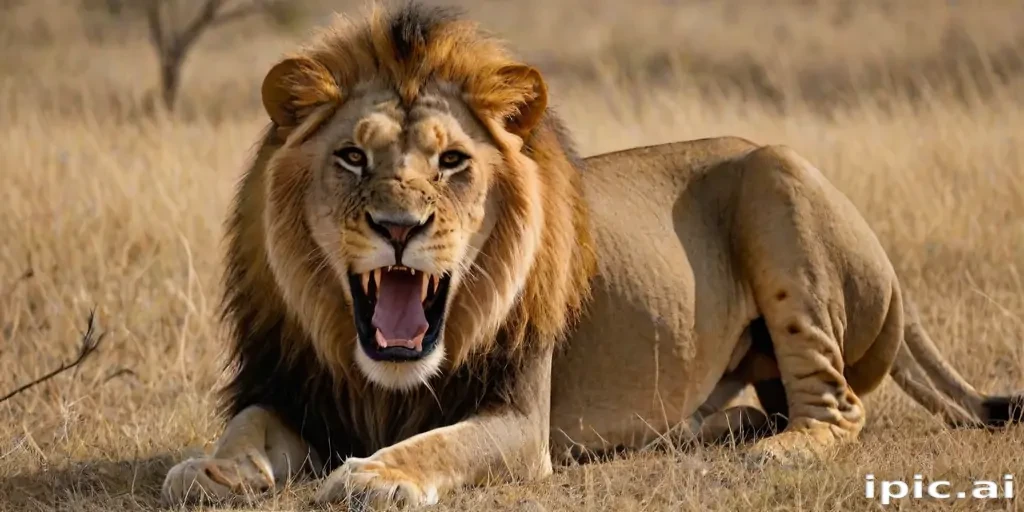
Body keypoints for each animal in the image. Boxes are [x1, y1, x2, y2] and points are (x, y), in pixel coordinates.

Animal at [162, 2, 1024, 508]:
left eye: (451, 162)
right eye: (351, 157)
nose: (399, 225)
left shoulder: (519, 417)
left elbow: (437, 442)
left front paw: (377, 473)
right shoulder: (293, 389)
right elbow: (243, 430)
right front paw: (206, 469)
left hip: (779, 176)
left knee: (836, 408)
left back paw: (768, 457)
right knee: (755, 407)